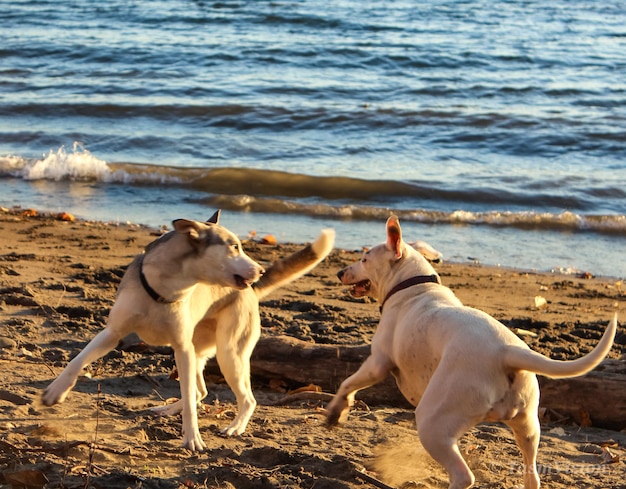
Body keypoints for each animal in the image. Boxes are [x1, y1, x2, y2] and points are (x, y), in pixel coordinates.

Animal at [44, 210, 334, 450]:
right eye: (234, 247)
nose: (261, 270)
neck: (164, 289)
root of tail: (251, 292)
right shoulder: (112, 334)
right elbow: (77, 360)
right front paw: (55, 392)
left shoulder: (182, 348)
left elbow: (192, 407)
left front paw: (192, 438)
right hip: (199, 352)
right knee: (198, 392)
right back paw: (168, 410)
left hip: (228, 355)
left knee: (244, 399)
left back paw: (234, 427)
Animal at [326, 215, 616, 486]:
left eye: (364, 259)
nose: (339, 272)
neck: (414, 286)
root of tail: (505, 352)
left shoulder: (378, 363)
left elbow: (348, 383)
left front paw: (336, 412)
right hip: (528, 426)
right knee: (532, 473)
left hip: (433, 420)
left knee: (464, 476)